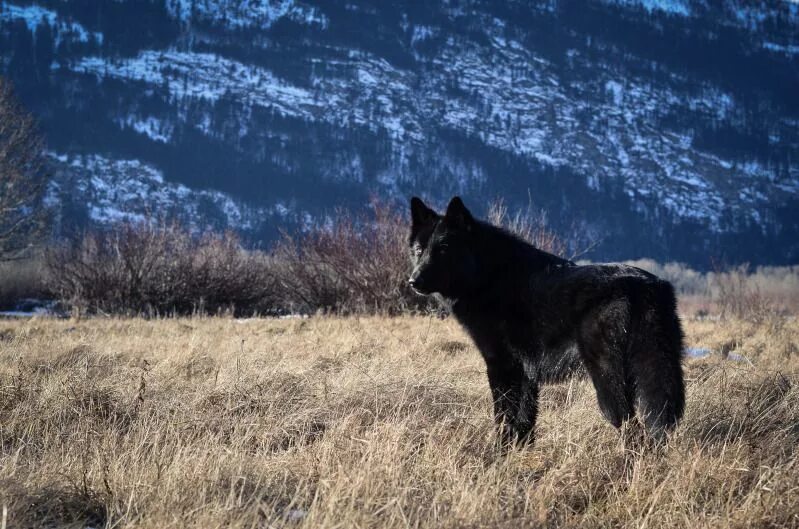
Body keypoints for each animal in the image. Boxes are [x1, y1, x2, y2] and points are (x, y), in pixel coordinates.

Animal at [410, 196, 684, 444]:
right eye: (419, 251)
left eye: (443, 249)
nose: (413, 281)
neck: (487, 276)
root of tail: (645, 286)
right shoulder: (526, 375)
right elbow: (524, 424)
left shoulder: (502, 366)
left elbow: (503, 419)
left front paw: (496, 455)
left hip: (607, 378)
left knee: (631, 428)